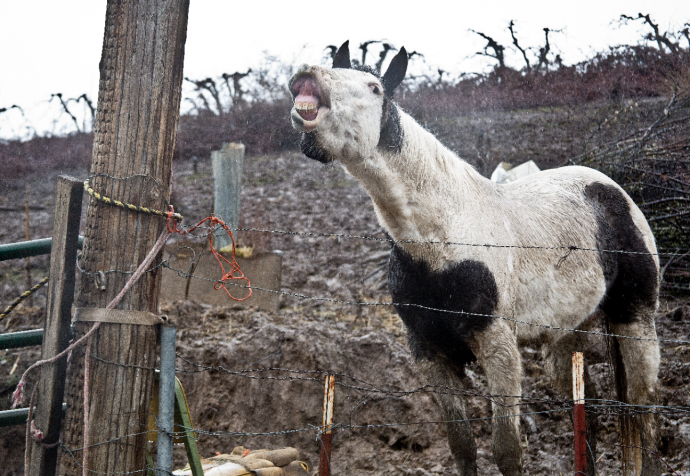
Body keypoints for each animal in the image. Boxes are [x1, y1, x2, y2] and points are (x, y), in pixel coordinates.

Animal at [288, 41, 660, 476]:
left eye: (374, 87)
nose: (306, 73)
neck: (443, 237)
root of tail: (610, 188)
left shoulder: (497, 347)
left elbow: (506, 449)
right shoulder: (430, 351)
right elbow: (462, 444)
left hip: (635, 318)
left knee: (643, 410)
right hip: (567, 335)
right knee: (587, 411)